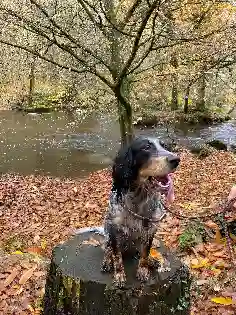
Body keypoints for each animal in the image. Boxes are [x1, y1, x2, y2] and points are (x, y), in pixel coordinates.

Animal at [100, 137, 180, 288]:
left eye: (164, 146)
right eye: (146, 148)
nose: (176, 159)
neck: (139, 198)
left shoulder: (150, 230)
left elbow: (145, 253)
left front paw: (143, 270)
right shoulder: (113, 228)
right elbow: (116, 255)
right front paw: (119, 275)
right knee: (107, 249)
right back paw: (107, 261)